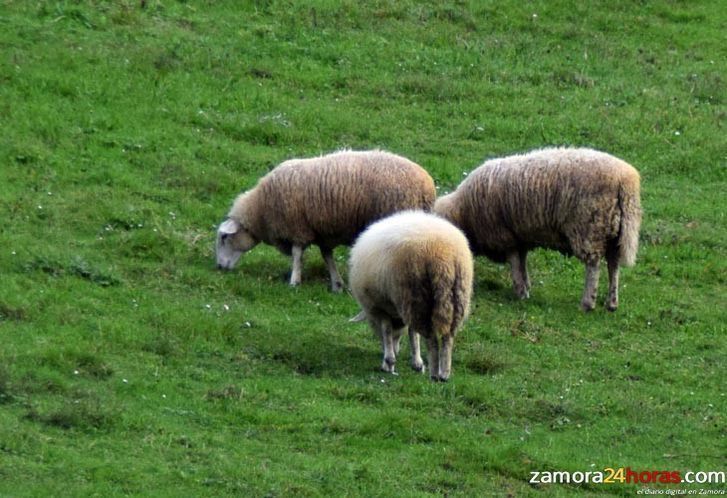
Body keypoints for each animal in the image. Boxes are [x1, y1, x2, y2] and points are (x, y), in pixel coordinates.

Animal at [213, 149, 436, 292]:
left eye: (224, 237)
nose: (219, 267)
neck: (260, 209)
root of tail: (427, 187)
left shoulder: (297, 227)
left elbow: (297, 255)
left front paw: (294, 281)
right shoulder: (323, 233)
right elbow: (327, 257)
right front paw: (337, 284)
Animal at [350, 210, 474, 382]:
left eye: (372, 325)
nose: (397, 350)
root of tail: (442, 253)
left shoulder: (381, 307)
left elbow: (388, 331)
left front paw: (389, 362)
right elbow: (411, 333)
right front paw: (416, 363)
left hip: (416, 294)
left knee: (431, 340)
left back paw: (434, 374)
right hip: (456, 296)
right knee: (447, 338)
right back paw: (444, 374)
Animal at [436, 147, 640, 312]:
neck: (464, 211)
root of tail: (625, 180)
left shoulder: (504, 235)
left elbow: (515, 264)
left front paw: (520, 292)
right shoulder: (520, 237)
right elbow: (522, 262)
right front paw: (526, 288)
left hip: (590, 227)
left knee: (594, 266)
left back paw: (587, 303)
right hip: (614, 232)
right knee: (613, 265)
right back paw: (611, 303)